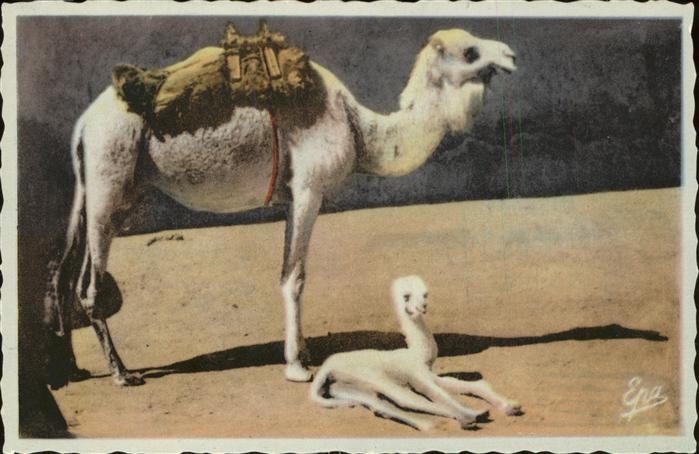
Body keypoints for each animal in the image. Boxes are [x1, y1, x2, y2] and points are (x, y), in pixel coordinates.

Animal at [44, 28, 516, 387]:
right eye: (470, 52)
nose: (511, 55)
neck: (358, 127)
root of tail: (83, 124)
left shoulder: (291, 196)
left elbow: (287, 272)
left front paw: (302, 353)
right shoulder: (309, 188)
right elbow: (295, 278)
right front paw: (296, 366)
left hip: (102, 190)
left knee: (66, 273)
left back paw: (73, 369)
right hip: (110, 174)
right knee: (89, 286)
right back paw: (122, 374)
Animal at [310, 276, 521, 431]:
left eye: (425, 295)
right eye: (406, 296)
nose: (422, 307)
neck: (416, 353)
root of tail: (325, 368)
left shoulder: (426, 374)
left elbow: (472, 385)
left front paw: (511, 406)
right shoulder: (418, 375)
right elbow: (438, 394)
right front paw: (474, 415)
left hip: (345, 387)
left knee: (380, 403)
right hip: (373, 377)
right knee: (406, 399)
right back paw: (469, 417)